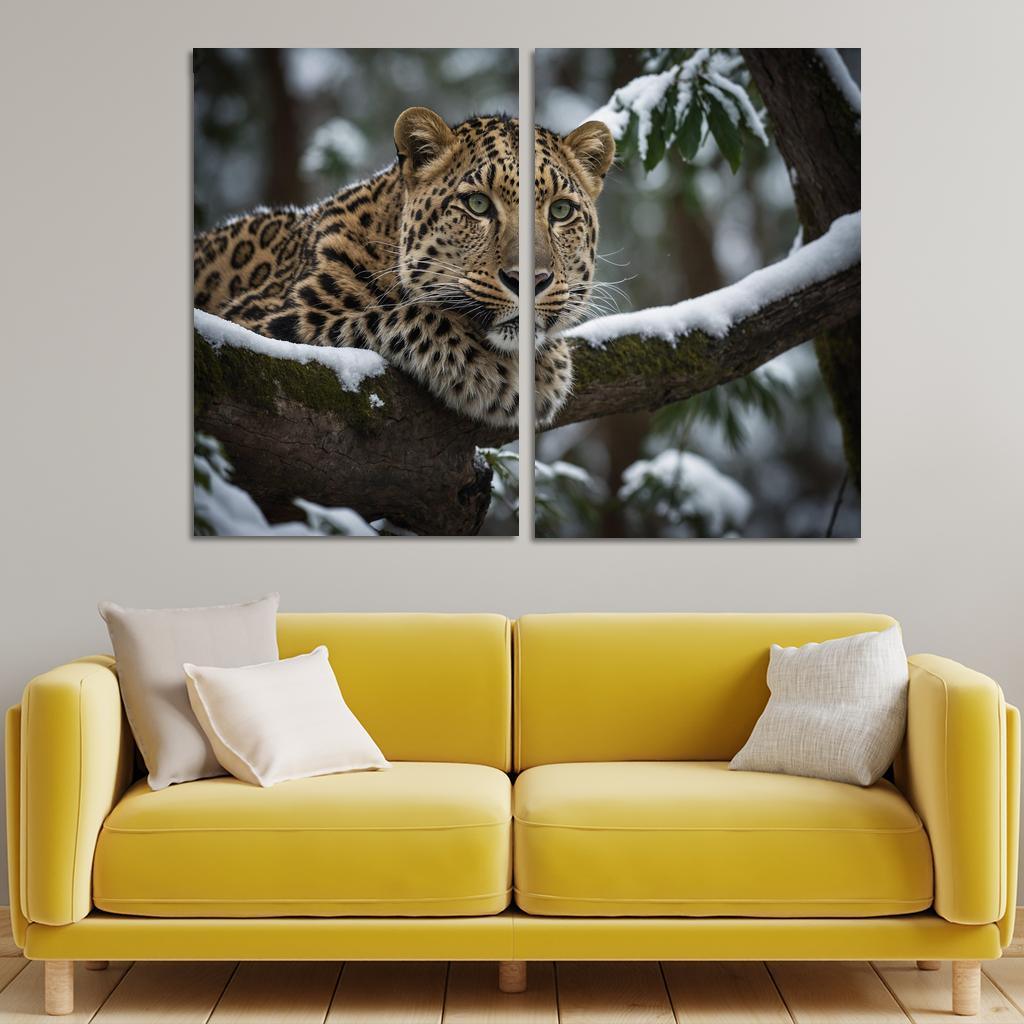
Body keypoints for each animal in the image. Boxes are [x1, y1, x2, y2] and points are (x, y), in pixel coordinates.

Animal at [193, 107, 615, 428]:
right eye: (478, 205)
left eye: (561, 211)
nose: (531, 280)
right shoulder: (263, 323)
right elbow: (404, 315)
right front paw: (509, 374)